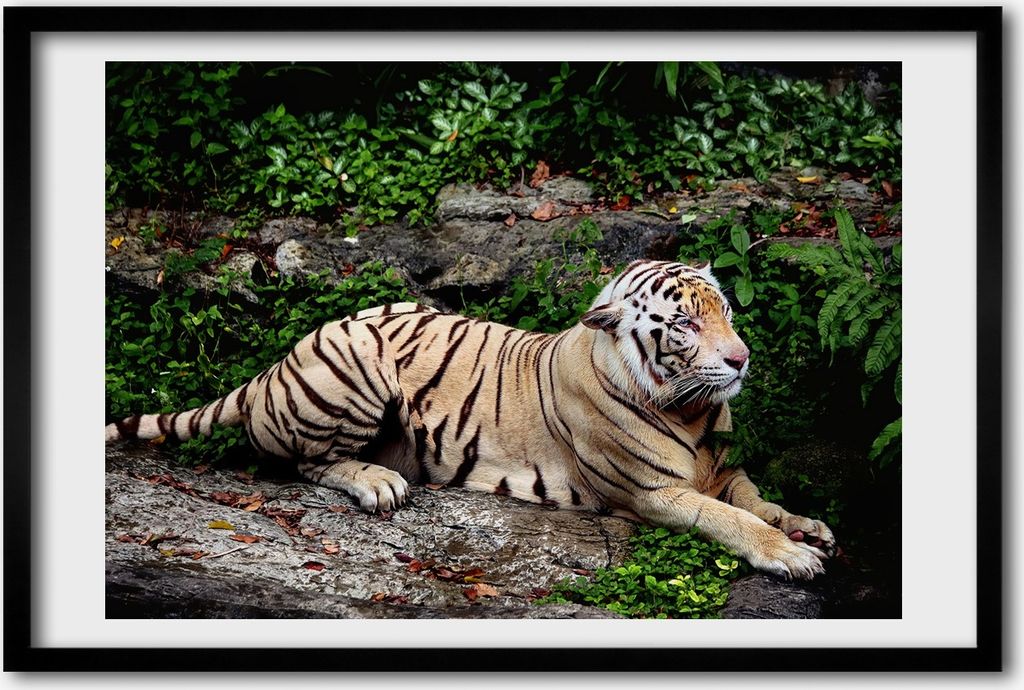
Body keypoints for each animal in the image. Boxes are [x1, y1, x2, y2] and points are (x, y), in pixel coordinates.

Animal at [106, 259, 836, 580]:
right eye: (684, 324)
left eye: (726, 312)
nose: (741, 358)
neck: (692, 410)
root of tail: (272, 367)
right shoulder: (652, 493)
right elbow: (730, 518)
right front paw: (790, 555)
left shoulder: (722, 468)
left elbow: (756, 497)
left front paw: (807, 525)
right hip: (358, 363)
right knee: (303, 462)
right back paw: (379, 483)